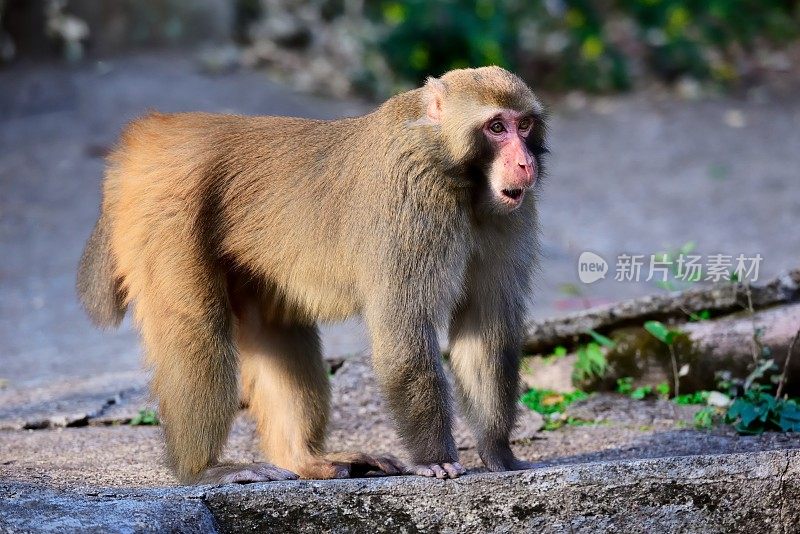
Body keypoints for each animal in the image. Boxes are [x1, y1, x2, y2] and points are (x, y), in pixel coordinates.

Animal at [78, 66, 548, 486]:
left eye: (524, 126)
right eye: (496, 127)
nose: (525, 163)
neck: (454, 172)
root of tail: (157, 129)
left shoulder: (508, 216)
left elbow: (485, 330)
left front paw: (498, 452)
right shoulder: (412, 205)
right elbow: (405, 337)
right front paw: (435, 458)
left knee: (276, 329)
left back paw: (305, 460)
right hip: (164, 214)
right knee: (197, 332)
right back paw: (203, 470)